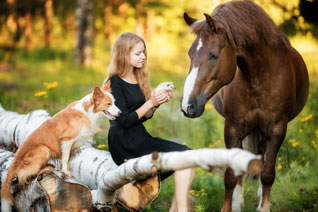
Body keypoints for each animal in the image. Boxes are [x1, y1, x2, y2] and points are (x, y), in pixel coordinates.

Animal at [0, 80, 120, 211]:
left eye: (114, 103)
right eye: (108, 104)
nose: (120, 112)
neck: (87, 111)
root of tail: (14, 161)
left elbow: (68, 159)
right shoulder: (67, 140)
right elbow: (65, 158)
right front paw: (66, 172)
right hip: (44, 149)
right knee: (22, 177)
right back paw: (44, 168)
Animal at [181, 0, 308, 212]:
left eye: (214, 55)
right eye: (190, 55)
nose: (187, 105)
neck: (259, 77)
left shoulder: (277, 129)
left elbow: (267, 174)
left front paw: (264, 207)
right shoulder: (232, 129)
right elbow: (231, 176)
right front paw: (230, 206)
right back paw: (238, 201)